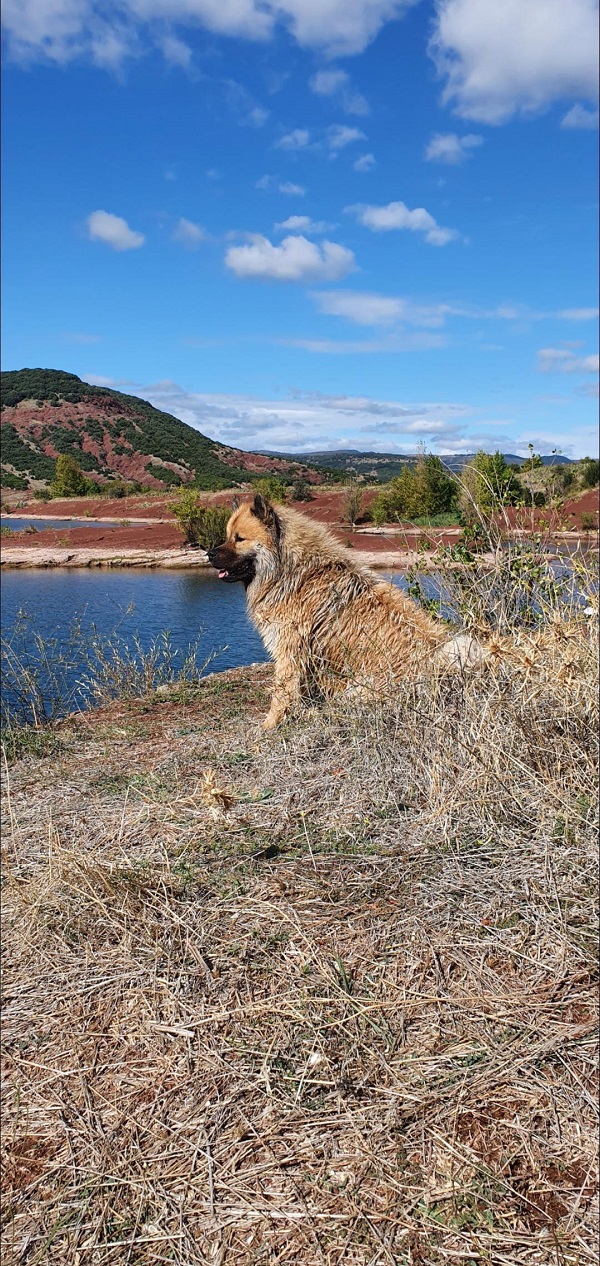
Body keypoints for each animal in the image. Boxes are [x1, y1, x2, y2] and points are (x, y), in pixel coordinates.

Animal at [207, 493, 478, 734]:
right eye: (227, 536)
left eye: (239, 539)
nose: (209, 553)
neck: (290, 570)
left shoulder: (289, 650)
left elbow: (281, 693)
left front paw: (269, 725)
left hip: (357, 690)